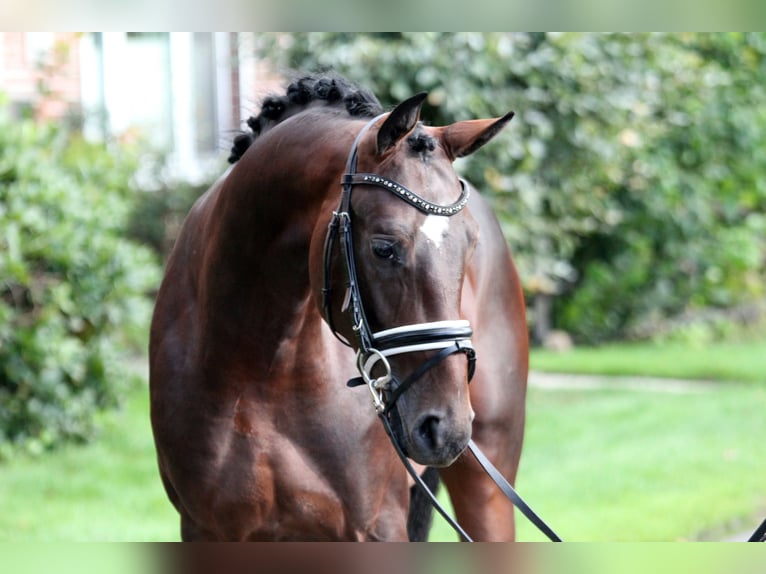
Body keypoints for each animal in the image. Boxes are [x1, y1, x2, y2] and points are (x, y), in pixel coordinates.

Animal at [149, 75, 528, 540]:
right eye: (383, 247)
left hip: (487, 487)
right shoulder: (208, 529)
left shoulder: (377, 527)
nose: (447, 427)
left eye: (470, 245)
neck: (260, 369)